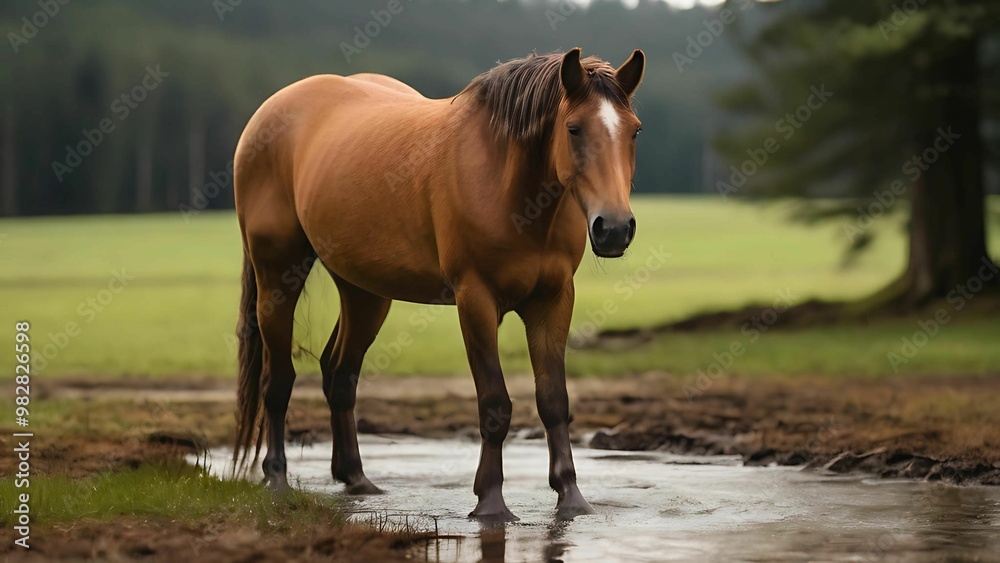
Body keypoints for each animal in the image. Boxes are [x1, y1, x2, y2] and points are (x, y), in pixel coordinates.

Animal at [232, 47, 645, 520]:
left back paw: (355, 478)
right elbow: (494, 404)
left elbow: (554, 401)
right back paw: (277, 478)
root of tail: (268, 113)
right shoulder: (476, 300)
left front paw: (571, 498)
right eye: (574, 129)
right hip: (277, 276)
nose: (614, 228)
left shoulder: (553, 299)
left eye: (634, 131)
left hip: (364, 291)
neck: (507, 181)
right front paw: (490, 503)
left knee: (339, 374)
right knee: (277, 380)